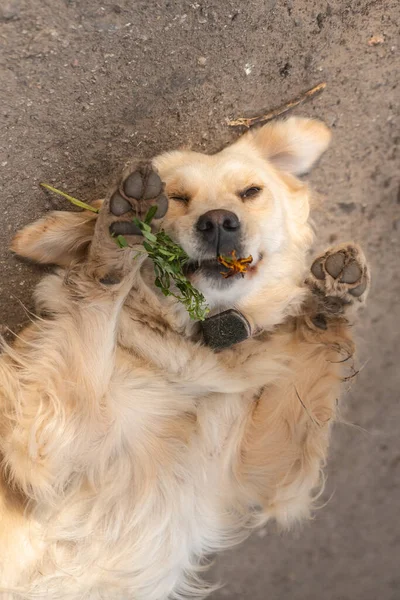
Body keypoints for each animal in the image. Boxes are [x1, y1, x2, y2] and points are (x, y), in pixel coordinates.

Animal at [0, 115, 368, 596]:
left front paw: (329, 298)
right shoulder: (45, 447)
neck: (191, 342)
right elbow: (96, 304)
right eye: (175, 198)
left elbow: (311, 366)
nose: (219, 222)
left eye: (251, 191)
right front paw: (121, 239)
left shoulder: (254, 471)